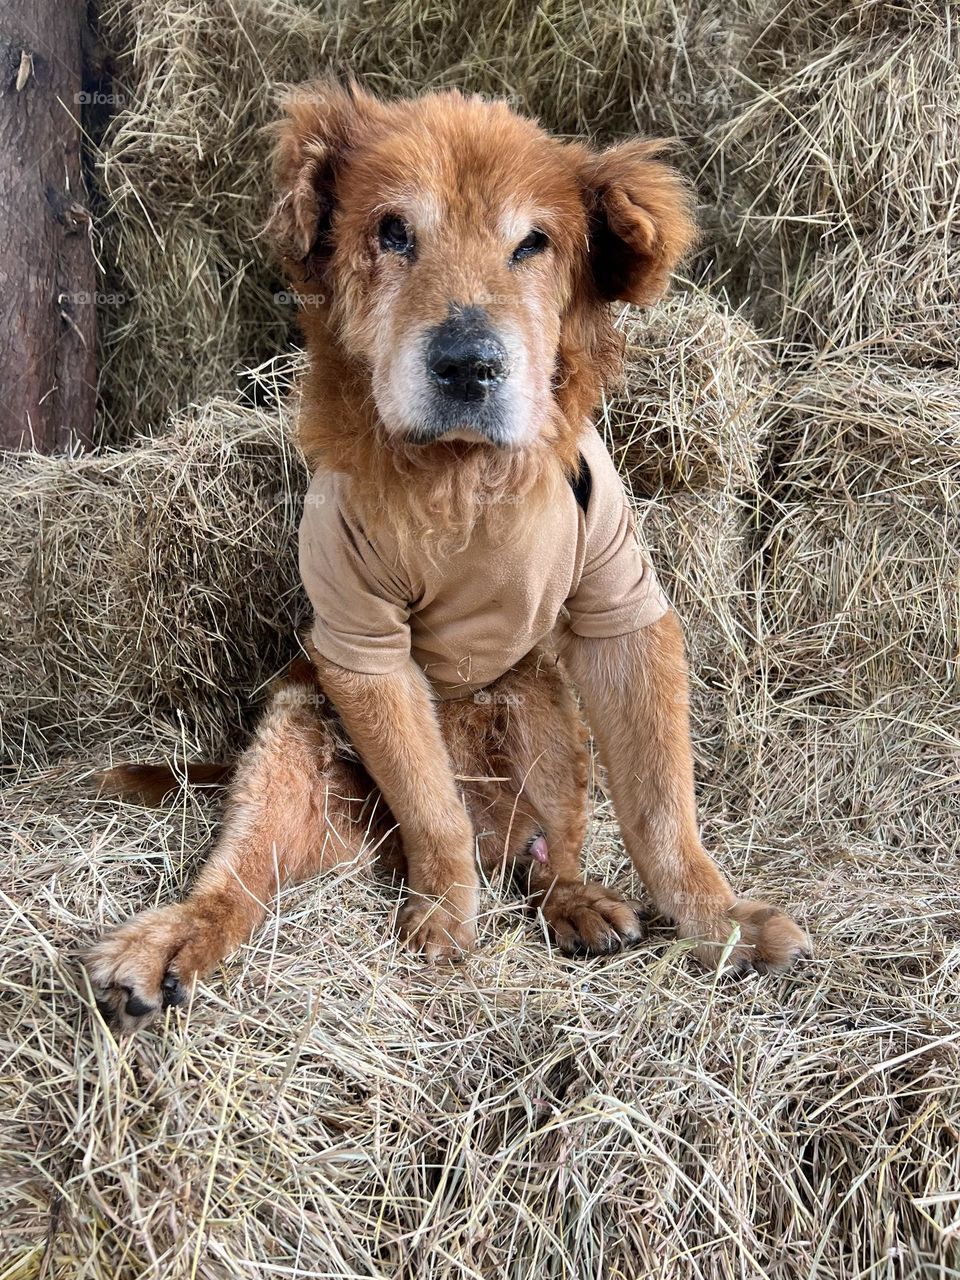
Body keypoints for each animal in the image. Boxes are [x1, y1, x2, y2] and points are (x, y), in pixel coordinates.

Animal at [88, 82, 814, 1029]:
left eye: (533, 243)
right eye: (394, 232)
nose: (468, 365)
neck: (464, 480)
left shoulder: (622, 611)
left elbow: (663, 812)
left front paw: (720, 921)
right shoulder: (362, 648)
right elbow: (434, 814)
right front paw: (441, 915)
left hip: (544, 715)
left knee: (545, 857)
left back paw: (577, 904)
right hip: (293, 736)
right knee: (243, 877)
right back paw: (170, 942)